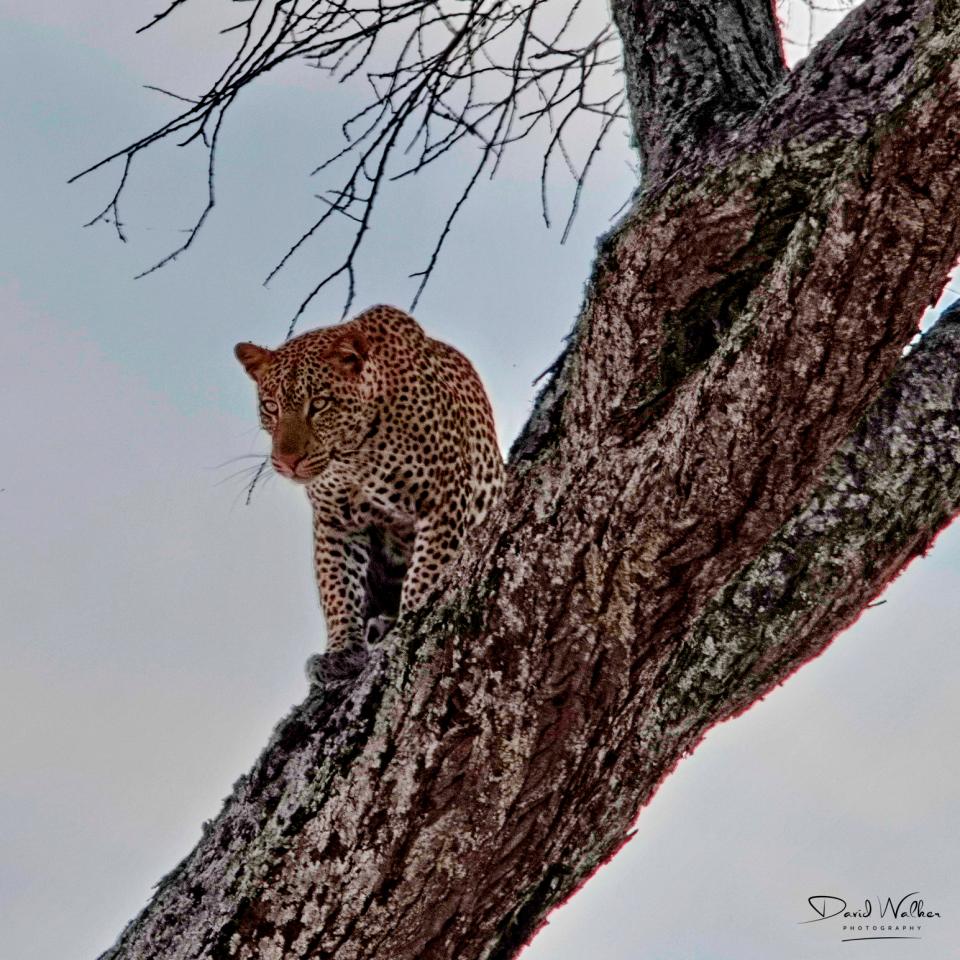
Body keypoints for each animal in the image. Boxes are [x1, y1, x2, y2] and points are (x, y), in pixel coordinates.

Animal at [235, 305, 505, 686]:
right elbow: (337, 588)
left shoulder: (443, 498)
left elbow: (426, 572)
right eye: (271, 407)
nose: (287, 462)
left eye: (319, 404)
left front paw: (409, 625)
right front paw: (342, 652)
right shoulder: (334, 519)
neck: (353, 456)